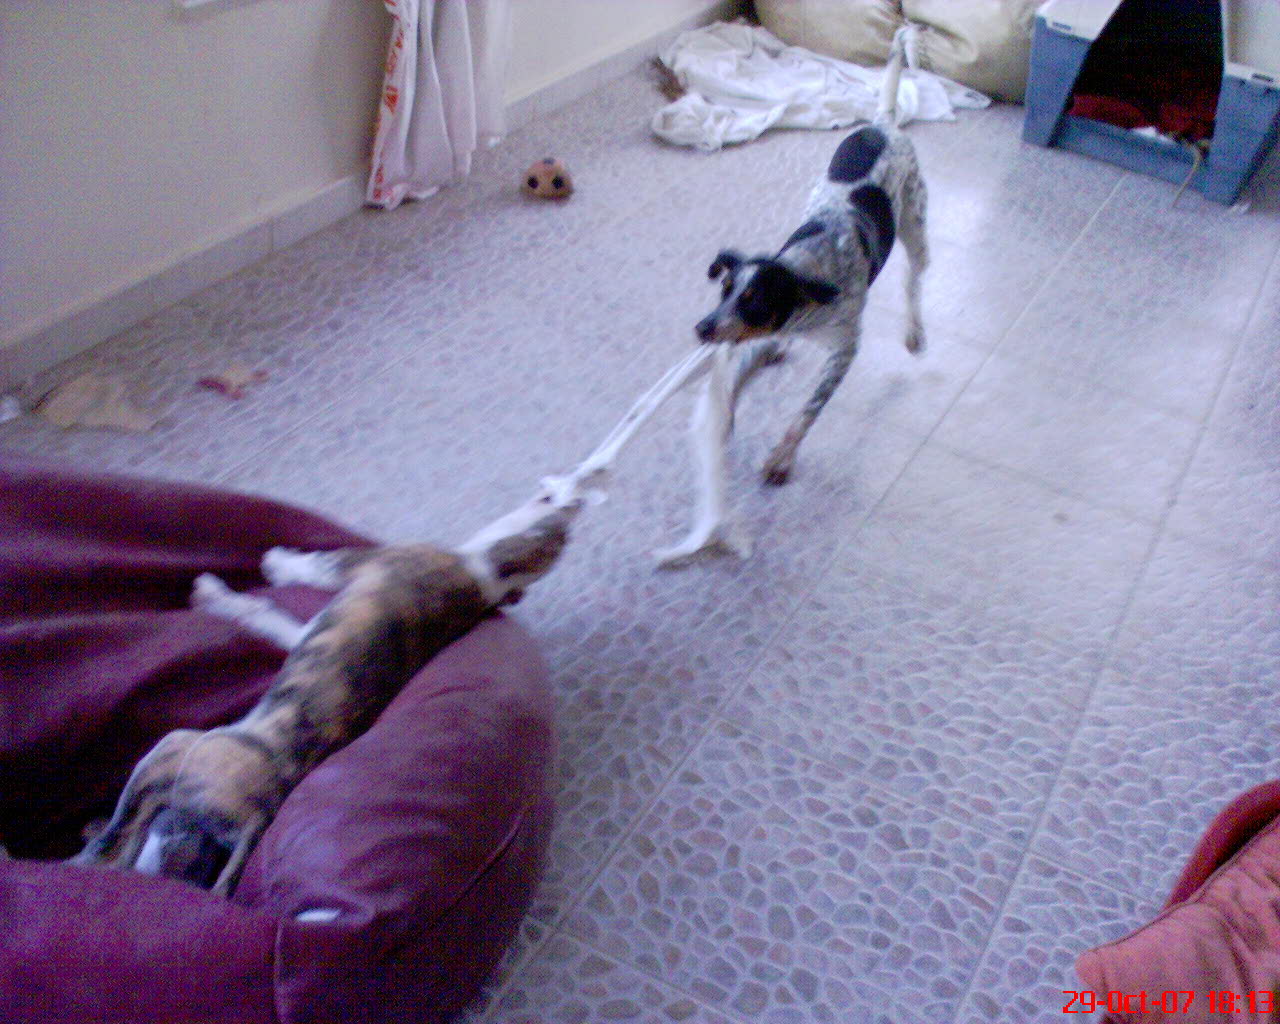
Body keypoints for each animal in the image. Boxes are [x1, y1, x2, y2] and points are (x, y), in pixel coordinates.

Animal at [71, 492, 577, 896]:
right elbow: (271, 617)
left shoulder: (354, 565)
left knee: (120, 840)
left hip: (171, 750)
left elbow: (306, 568)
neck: (487, 573)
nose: (563, 502)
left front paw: (262, 568)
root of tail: (258, 815)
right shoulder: (306, 627)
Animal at [657, 28, 928, 565]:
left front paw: (782, 458)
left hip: (916, 228)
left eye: (755, 301)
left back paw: (914, 331)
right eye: (724, 290)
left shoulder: (842, 352)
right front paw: (724, 421)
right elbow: (736, 381)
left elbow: (806, 414)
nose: (701, 328)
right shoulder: (751, 337)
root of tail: (883, 124)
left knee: (914, 281)